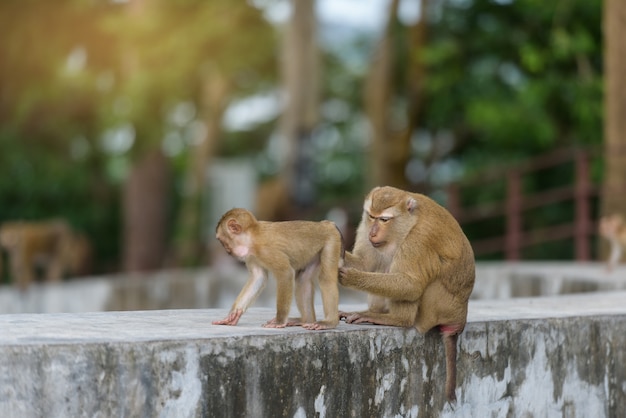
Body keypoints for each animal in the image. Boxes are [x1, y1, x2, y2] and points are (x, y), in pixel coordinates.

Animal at [213, 208, 342, 330]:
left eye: (220, 240)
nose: (226, 250)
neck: (253, 237)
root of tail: (325, 224)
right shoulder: (251, 256)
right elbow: (258, 277)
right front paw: (234, 314)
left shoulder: (267, 251)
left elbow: (286, 273)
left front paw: (279, 321)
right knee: (303, 279)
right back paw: (306, 320)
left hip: (332, 240)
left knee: (326, 279)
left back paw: (329, 322)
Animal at [336, 186, 472, 402]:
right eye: (371, 216)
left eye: (384, 219)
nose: (373, 233)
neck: (408, 223)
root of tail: (459, 320)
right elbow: (366, 263)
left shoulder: (420, 237)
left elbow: (411, 285)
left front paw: (350, 277)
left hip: (436, 309)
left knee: (419, 280)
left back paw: (396, 319)